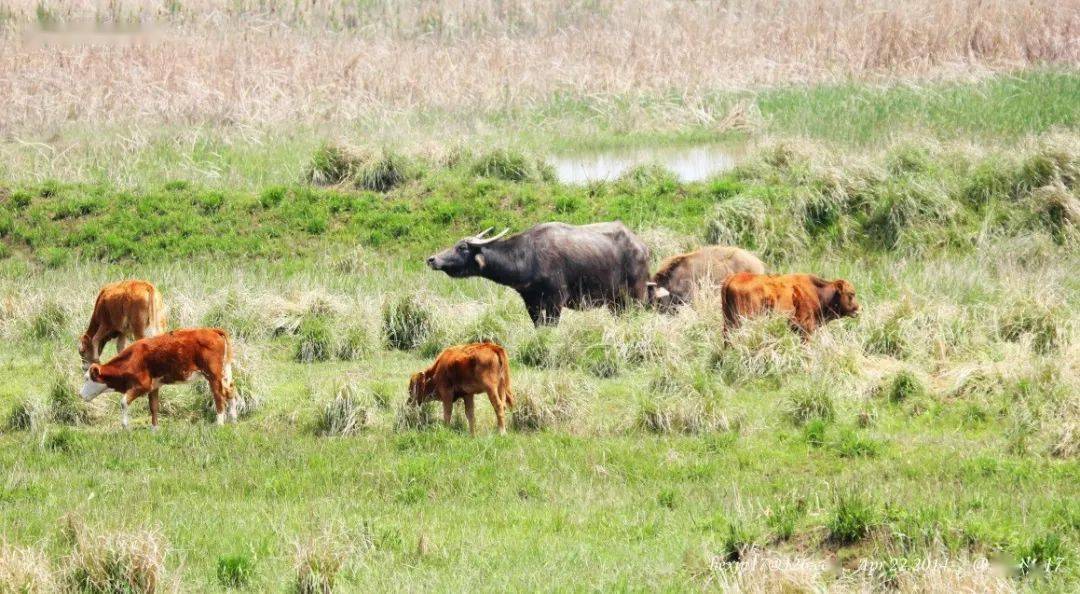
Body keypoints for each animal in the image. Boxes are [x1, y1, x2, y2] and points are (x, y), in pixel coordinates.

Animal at [81, 328, 237, 429]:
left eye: (87, 378)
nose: (80, 394)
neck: (132, 359)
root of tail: (212, 330)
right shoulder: (153, 386)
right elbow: (154, 407)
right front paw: (155, 429)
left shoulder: (141, 386)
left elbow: (124, 402)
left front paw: (125, 426)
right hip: (223, 373)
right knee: (230, 391)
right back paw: (233, 419)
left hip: (213, 375)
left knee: (218, 396)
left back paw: (219, 423)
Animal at [427, 222, 648, 326]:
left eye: (462, 247)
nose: (432, 259)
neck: (529, 257)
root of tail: (643, 247)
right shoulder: (530, 302)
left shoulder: (556, 301)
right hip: (615, 302)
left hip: (635, 296)